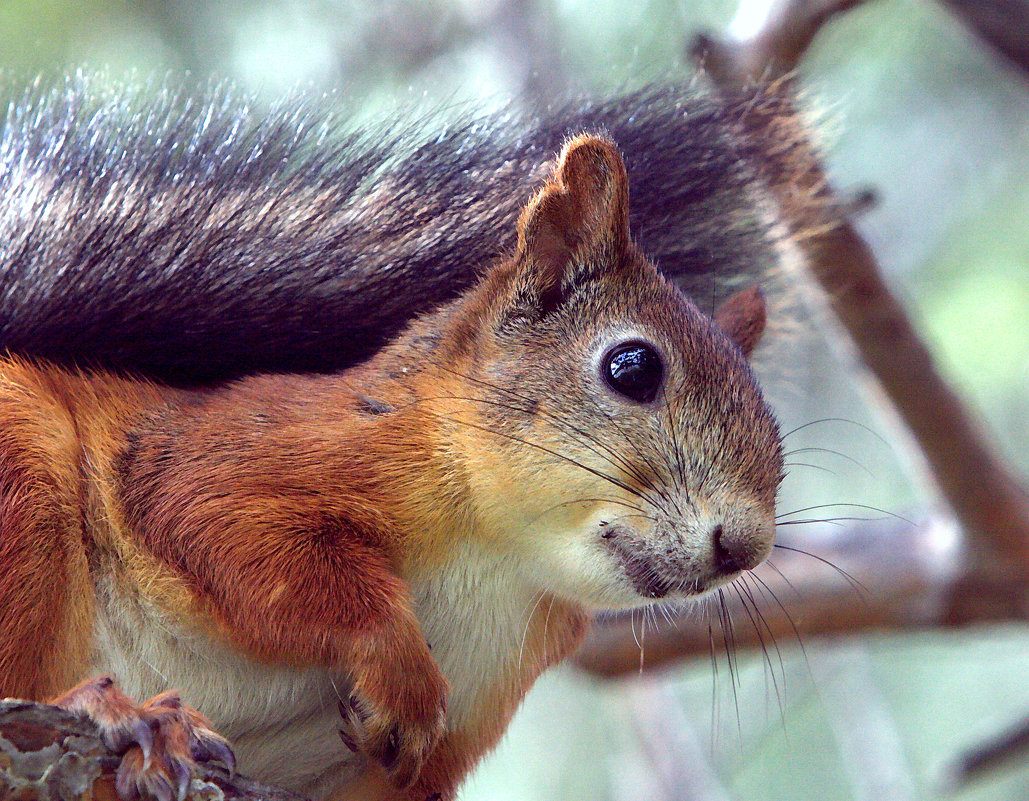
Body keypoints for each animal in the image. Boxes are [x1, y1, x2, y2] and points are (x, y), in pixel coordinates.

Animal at [0, 136, 777, 798]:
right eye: (632, 367)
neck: (501, 561)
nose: (743, 546)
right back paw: (115, 711)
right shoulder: (242, 452)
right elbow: (224, 527)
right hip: (24, 483)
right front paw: (401, 670)